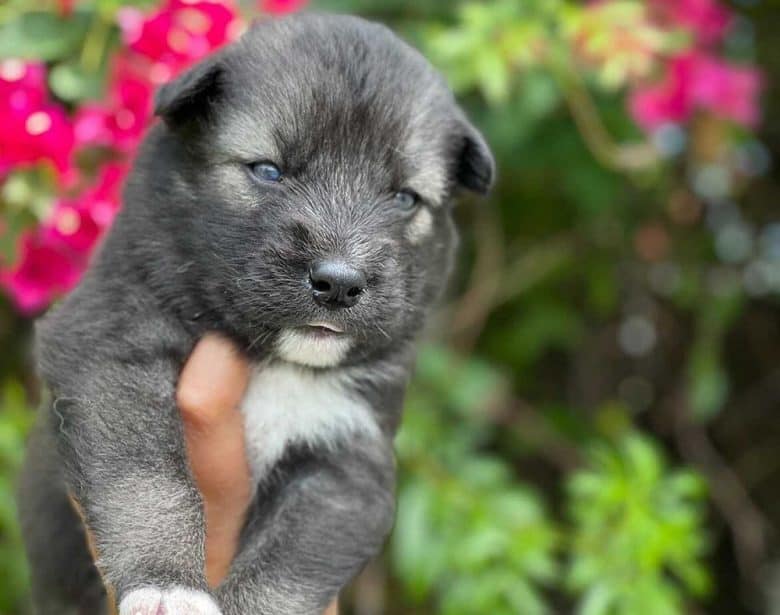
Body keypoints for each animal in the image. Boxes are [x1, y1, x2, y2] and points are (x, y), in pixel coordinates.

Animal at [16, 10, 494, 615]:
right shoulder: (112, 350)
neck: (273, 361)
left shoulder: (345, 456)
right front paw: (164, 581)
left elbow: (286, 567)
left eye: (405, 198)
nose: (340, 283)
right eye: (268, 170)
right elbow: (146, 479)